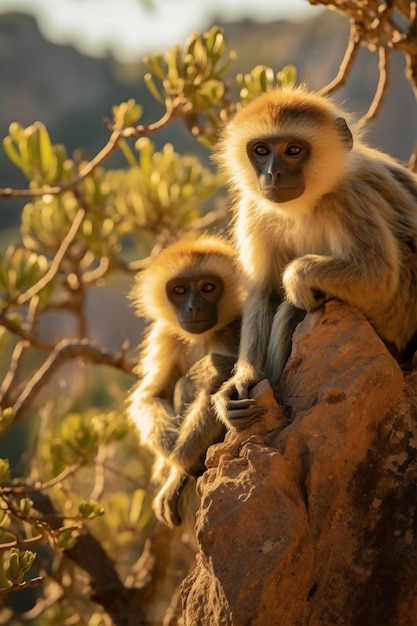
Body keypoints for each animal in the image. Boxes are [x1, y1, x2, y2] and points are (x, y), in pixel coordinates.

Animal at [128, 234, 245, 528]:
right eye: (179, 290)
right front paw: (171, 462)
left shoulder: (236, 326)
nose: (193, 307)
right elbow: (151, 395)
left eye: (208, 287)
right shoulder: (165, 334)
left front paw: (177, 469)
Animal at [211, 84, 417, 428]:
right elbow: (263, 291)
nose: (274, 174)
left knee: (296, 310)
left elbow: (377, 278)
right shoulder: (254, 207)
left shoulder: (347, 196)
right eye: (261, 150)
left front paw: (297, 277)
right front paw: (243, 379)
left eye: (293, 150)